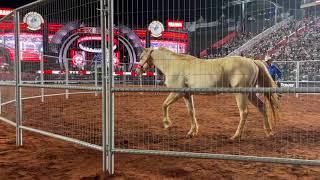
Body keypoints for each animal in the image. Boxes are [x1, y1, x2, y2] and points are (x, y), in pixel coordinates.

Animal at [136, 47, 280, 140]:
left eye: (141, 56)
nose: (137, 70)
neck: (174, 64)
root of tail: (252, 61)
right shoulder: (187, 95)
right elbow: (191, 112)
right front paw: (192, 132)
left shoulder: (178, 93)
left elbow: (164, 105)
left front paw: (167, 124)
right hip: (249, 94)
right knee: (262, 106)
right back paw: (269, 132)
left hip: (240, 93)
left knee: (244, 112)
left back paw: (236, 136)